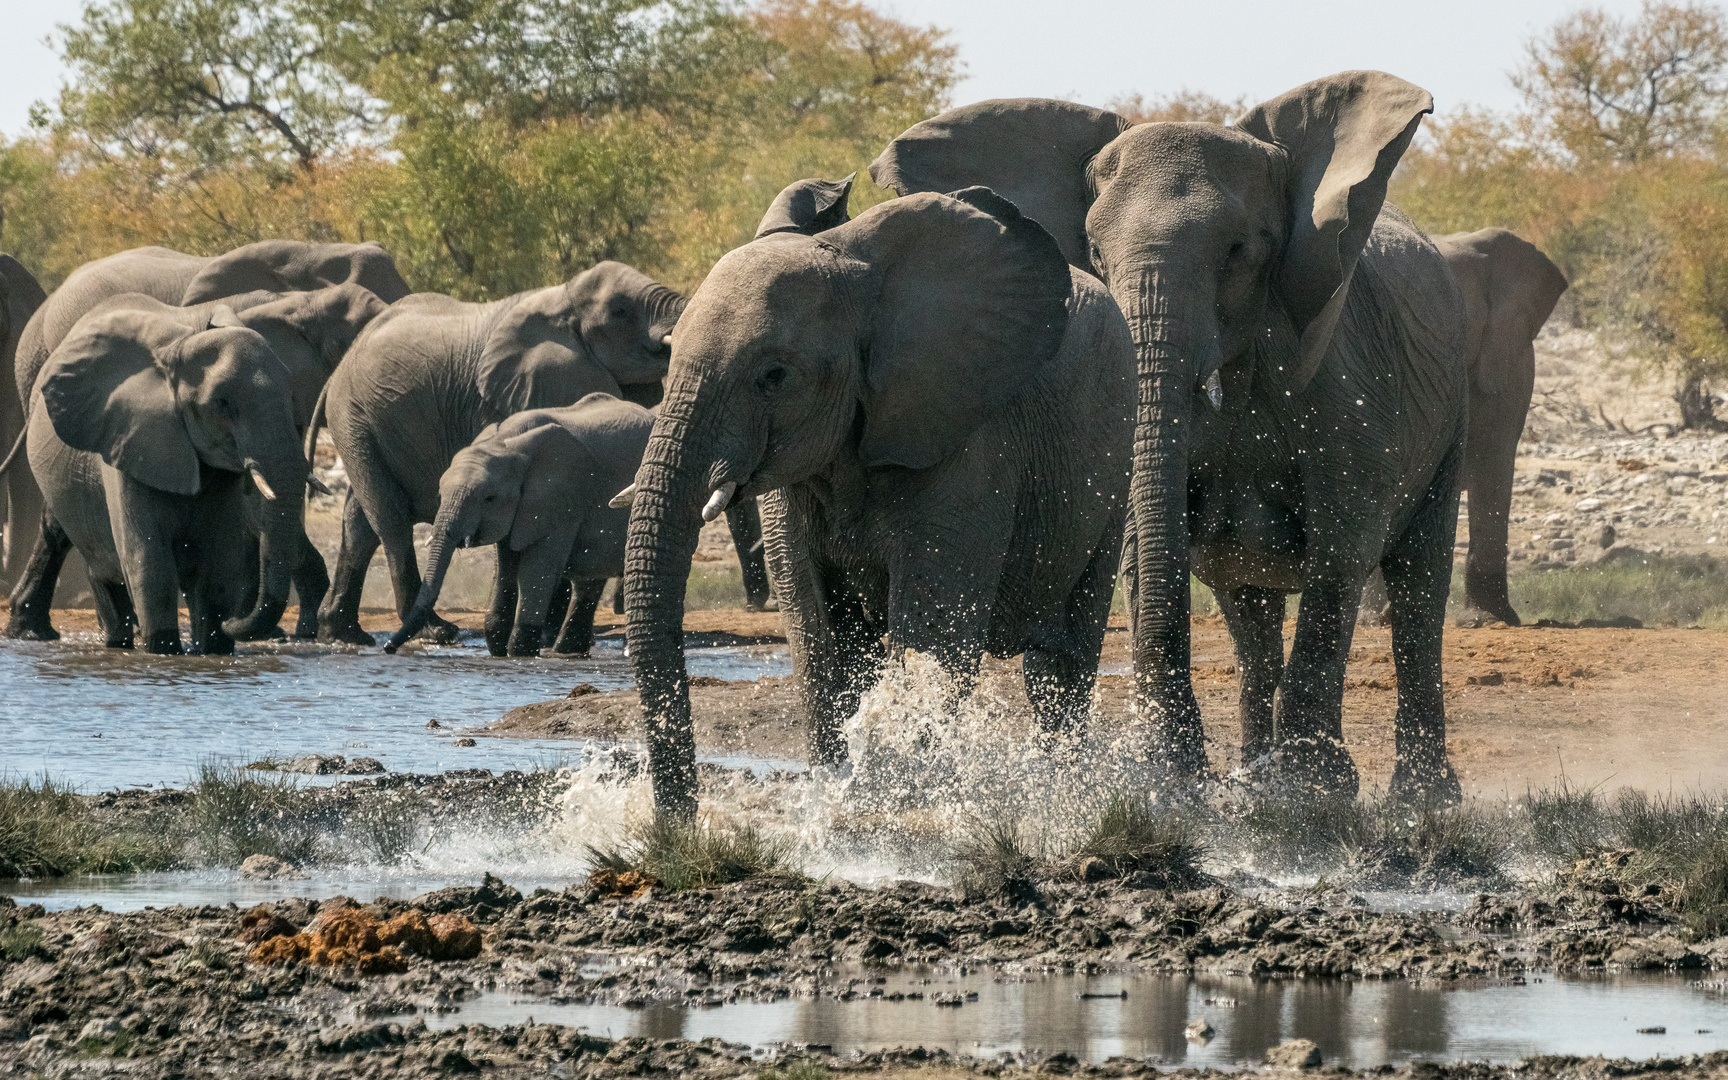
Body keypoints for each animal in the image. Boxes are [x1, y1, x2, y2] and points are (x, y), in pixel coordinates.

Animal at [387, 392, 653, 653]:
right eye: (440, 496)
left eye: (489, 498)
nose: (389, 647)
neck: (505, 443)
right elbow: (505, 570)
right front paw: (500, 650)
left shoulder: (563, 497)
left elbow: (535, 571)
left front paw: (519, 653)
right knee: (588, 581)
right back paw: (566, 651)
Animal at [622, 177, 1133, 815]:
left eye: (774, 376)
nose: (679, 825)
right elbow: (821, 637)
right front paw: (841, 795)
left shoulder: (966, 440)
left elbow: (930, 635)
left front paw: (898, 802)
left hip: (1116, 462)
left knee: (1061, 666)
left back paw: (1065, 787)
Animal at [877, 69, 1472, 801]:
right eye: (1093, 254)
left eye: (1239, 253)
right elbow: (1143, 540)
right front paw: (1174, 780)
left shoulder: (1346, 380)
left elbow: (1344, 546)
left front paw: (1312, 791)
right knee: (1250, 611)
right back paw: (1251, 779)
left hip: (1451, 413)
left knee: (1418, 586)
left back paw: (1421, 798)